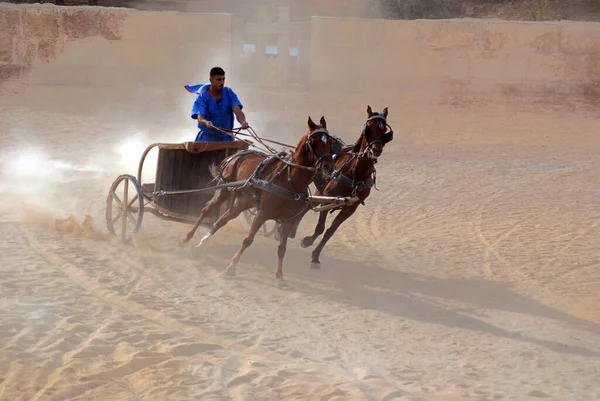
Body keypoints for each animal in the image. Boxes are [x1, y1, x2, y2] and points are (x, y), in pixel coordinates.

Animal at [180, 115, 338, 284]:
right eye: (314, 142)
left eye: (330, 142)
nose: (328, 167)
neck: (290, 180)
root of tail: (235, 155)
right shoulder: (262, 214)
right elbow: (248, 240)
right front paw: (231, 267)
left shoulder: (288, 221)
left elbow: (282, 248)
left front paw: (280, 277)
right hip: (224, 191)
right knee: (206, 209)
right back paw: (187, 238)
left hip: (243, 201)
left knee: (220, 221)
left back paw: (199, 246)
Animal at [300, 106, 394, 268]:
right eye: (369, 127)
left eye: (384, 130)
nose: (375, 150)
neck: (355, 171)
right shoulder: (328, 196)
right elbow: (320, 227)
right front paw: (307, 241)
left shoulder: (350, 207)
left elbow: (330, 231)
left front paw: (316, 254)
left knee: (308, 204)